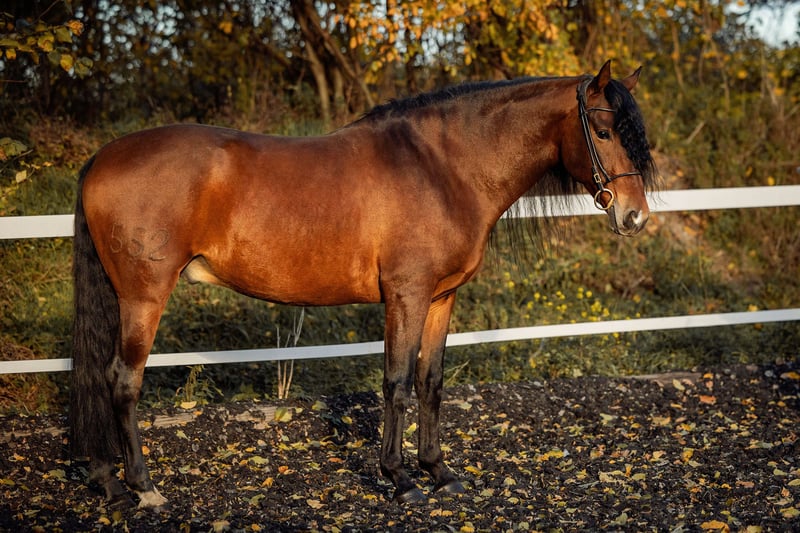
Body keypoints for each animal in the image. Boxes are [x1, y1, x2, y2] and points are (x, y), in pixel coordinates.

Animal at [70, 60, 658, 509]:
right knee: (122, 381)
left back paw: (106, 482)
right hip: (143, 297)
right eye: (603, 132)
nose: (634, 217)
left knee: (99, 377)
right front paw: (399, 479)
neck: (443, 168)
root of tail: (102, 157)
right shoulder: (406, 295)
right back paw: (143, 488)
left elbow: (430, 381)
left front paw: (439, 472)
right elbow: (395, 383)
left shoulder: (441, 297)